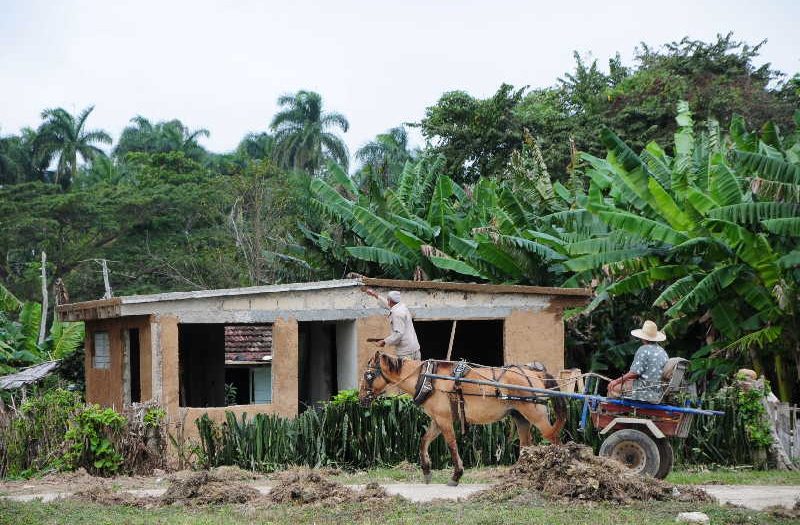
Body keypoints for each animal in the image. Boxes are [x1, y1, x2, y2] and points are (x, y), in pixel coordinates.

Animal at [360, 352, 564, 488]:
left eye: (368, 375)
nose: (361, 399)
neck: (428, 378)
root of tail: (535, 373)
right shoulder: (437, 420)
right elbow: (423, 441)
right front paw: (427, 471)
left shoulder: (444, 420)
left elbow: (451, 445)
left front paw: (456, 476)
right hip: (520, 417)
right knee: (526, 446)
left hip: (537, 416)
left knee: (555, 440)